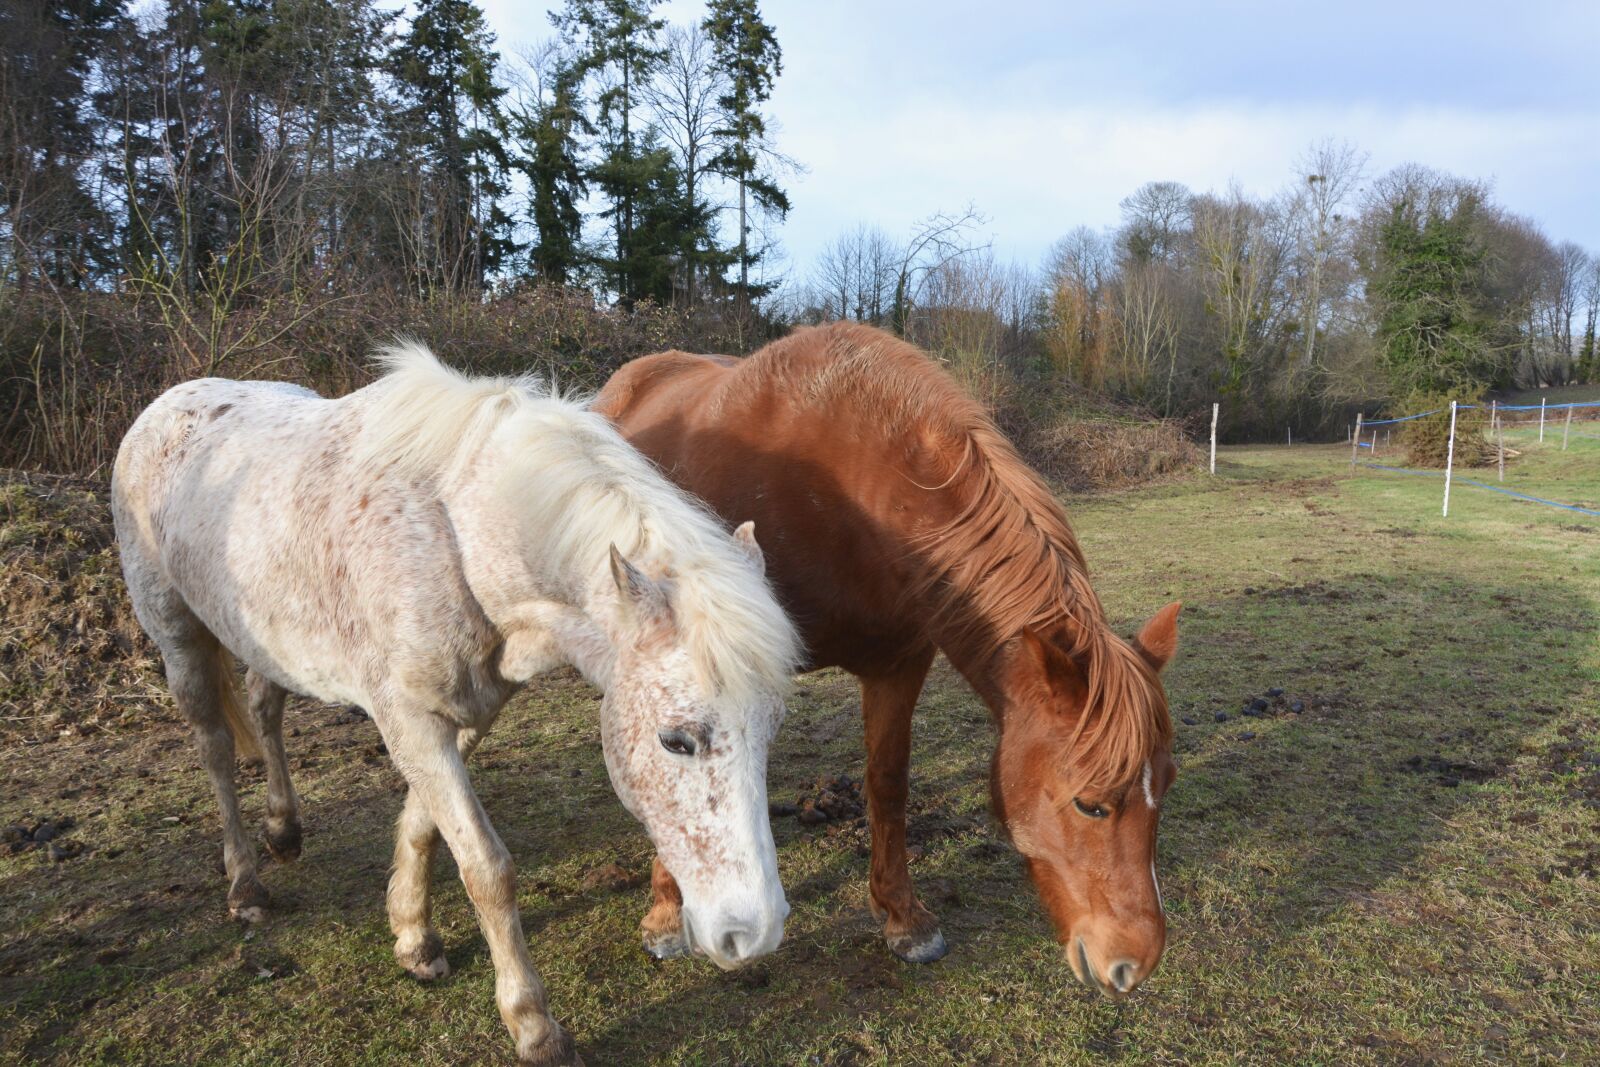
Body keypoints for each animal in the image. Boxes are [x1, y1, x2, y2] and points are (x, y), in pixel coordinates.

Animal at [111, 343, 801, 1065]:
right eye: (675, 740)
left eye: (770, 731)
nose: (754, 933)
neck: (457, 536)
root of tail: (169, 404)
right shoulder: (411, 719)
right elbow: (486, 868)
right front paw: (533, 1025)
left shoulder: (465, 709)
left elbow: (424, 825)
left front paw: (413, 935)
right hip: (179, 636)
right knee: (215, 747)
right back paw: (245, 883)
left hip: (264, 637)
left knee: (263, 707)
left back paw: (283, 830)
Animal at [595, 321, 1180, 996]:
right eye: (1090, 802)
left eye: (1167, 783)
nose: (1133, 964)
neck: (852, 494)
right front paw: (667, 914)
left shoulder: (900, 664)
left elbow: (888, 782)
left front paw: (903, 917)